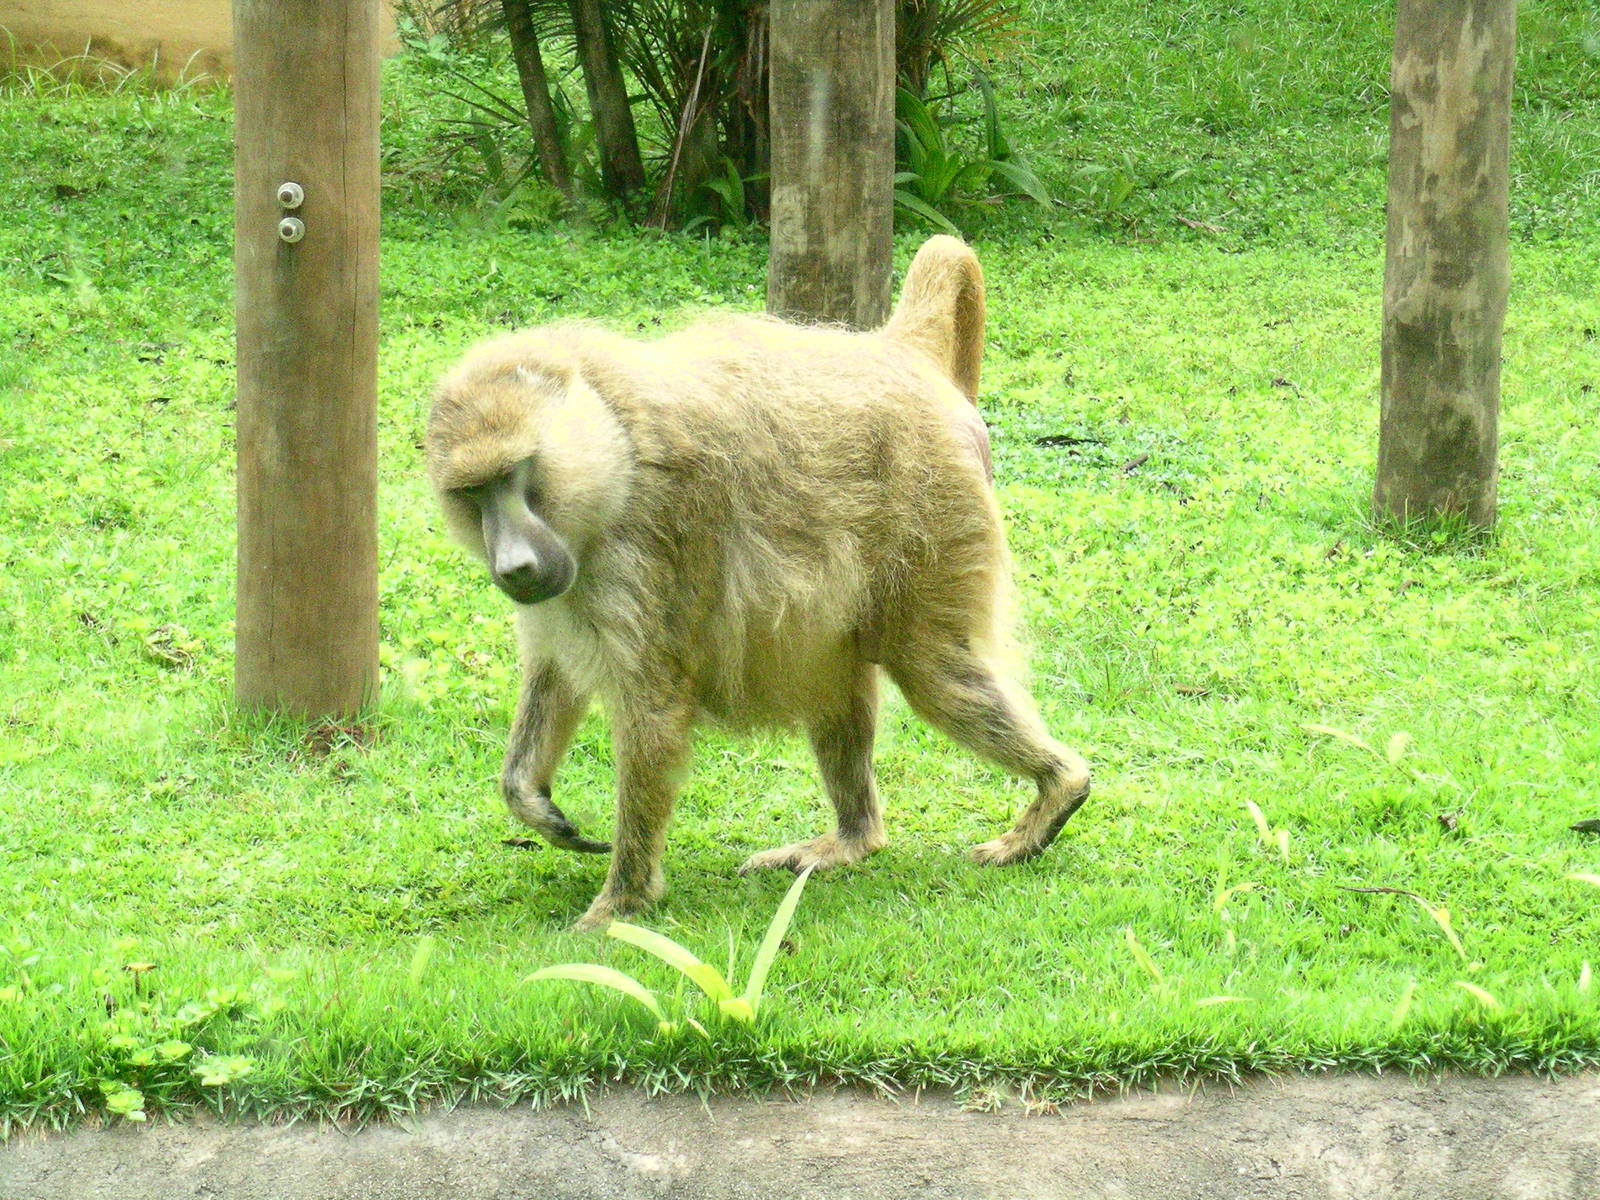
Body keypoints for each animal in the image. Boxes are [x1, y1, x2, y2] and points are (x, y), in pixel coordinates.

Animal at [426, 235, 1091, 930]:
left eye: (515, 476)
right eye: (472, 493)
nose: (513, 567)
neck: (615, 445)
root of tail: (895, 352)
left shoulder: (645, 551)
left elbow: (653, 716)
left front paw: (620, 906)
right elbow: (554, 675)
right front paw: (530, 801)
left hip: (933, 505)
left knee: (932, 671)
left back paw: (1060, 790)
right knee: (838, 681)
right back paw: (852, 840)